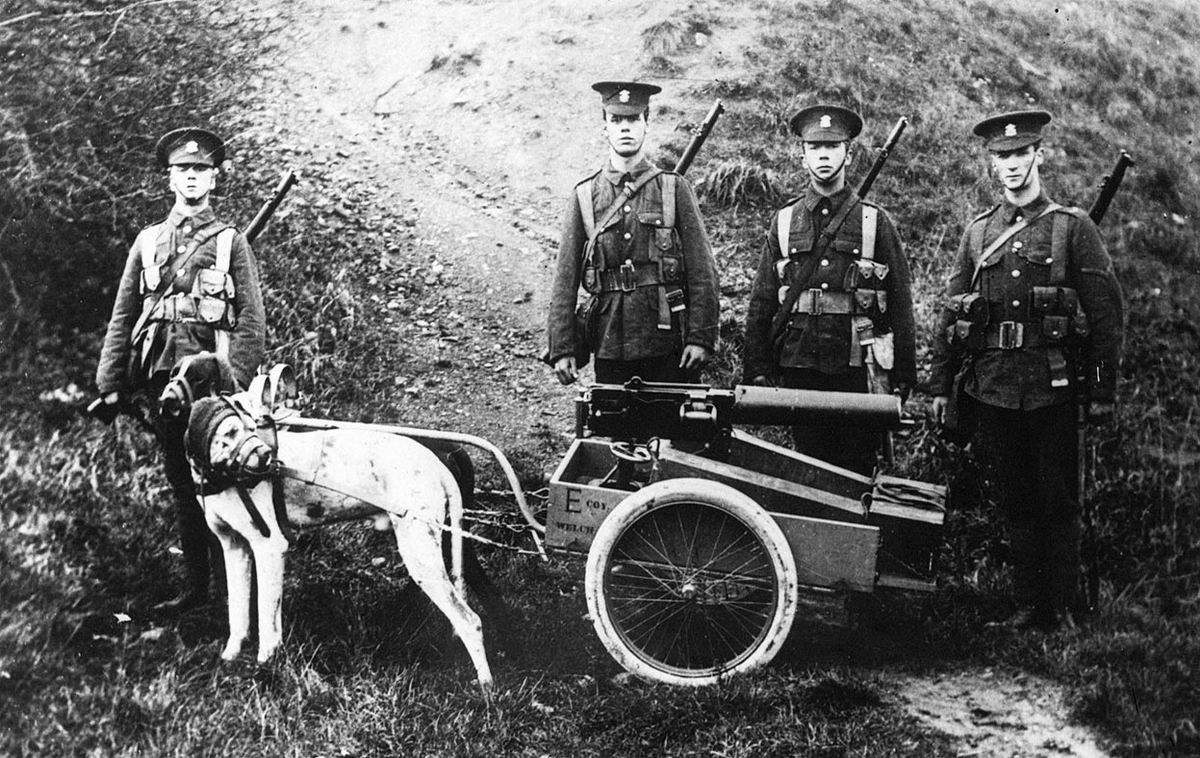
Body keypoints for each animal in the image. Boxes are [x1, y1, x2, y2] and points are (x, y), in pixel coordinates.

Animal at [163, 352, 500, 688]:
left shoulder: (269, 548)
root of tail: (435, 462)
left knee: (470, 620)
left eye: (198, 378)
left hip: (423, 556)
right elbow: (239, 615)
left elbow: (267, 621)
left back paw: (485, 687)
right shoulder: (234, 548)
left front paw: (264, 666)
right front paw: (230, 658)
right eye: (172, 373)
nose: (166, 400)